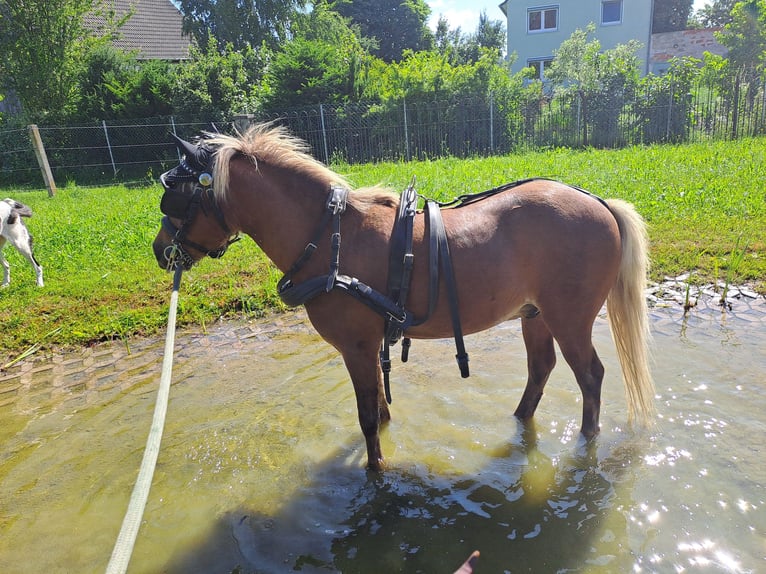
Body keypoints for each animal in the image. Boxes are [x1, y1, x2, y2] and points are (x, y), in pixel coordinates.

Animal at [152, 124, 653, 471]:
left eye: (173, 200)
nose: (161, 251)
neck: (331, 238)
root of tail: (599, 202)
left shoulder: (355, 347)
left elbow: (367, 417)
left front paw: (376, 470)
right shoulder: (369, 344)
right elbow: (379, 405)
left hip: (569, 319)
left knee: (590, 376)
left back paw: (587, 440)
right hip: (535, 315)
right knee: (541, 369)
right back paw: (519, 420)